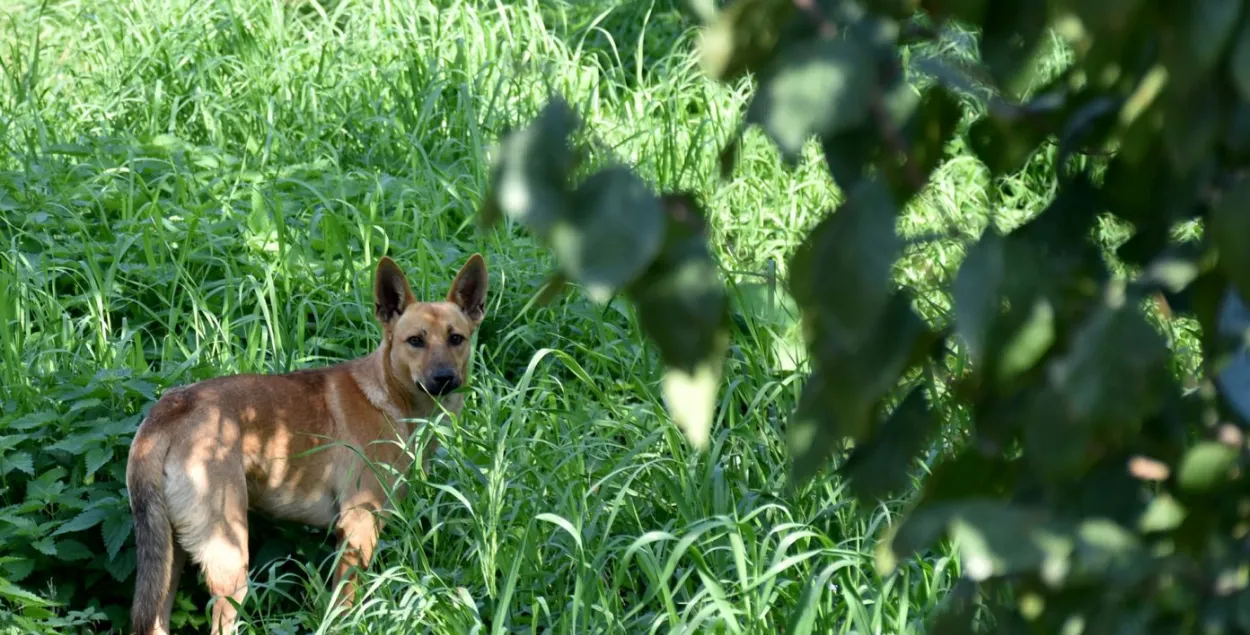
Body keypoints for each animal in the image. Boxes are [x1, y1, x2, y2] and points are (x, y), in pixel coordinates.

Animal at [125, 253, 487, 635]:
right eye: (415, 341)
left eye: (456, 338)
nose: (445, 378)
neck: (391, 397)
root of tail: (168, 411)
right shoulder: (358, 529)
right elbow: (344, 608)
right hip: (230, 559)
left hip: (169, 560)